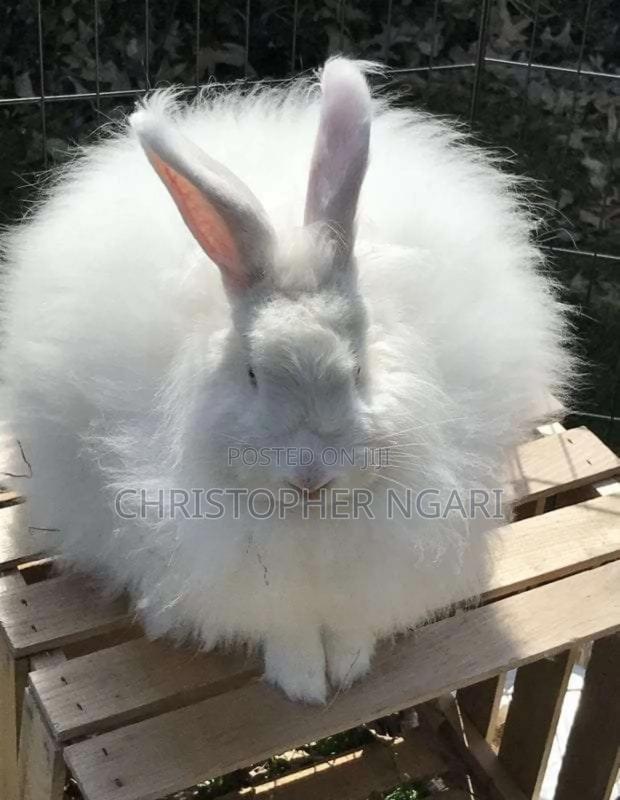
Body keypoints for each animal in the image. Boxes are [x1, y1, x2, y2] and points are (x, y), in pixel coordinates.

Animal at [0, 58, 571, 703]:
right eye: (251, 373)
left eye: (358, 369)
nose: (311, 479)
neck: (310, 527)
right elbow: (285, 625)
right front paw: (302, 683)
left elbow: (351, 618)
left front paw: (347, 664)